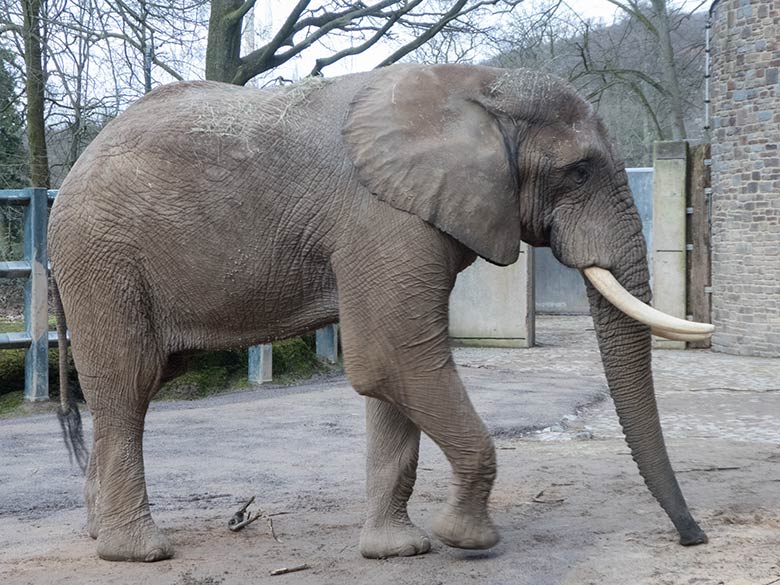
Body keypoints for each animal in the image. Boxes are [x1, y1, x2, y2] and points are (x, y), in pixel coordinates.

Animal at [50, 62, 712, 560]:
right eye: (578, 171)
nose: (693, 538)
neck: (476, 85)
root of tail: (69, 174)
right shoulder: (383, 218)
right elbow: (392, 357)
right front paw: (465, 539)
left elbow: (392, 373)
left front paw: (398, 551)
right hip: (102, 254)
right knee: (127, 382)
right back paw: (138, 552)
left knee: (145, 382)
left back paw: (98, 533)